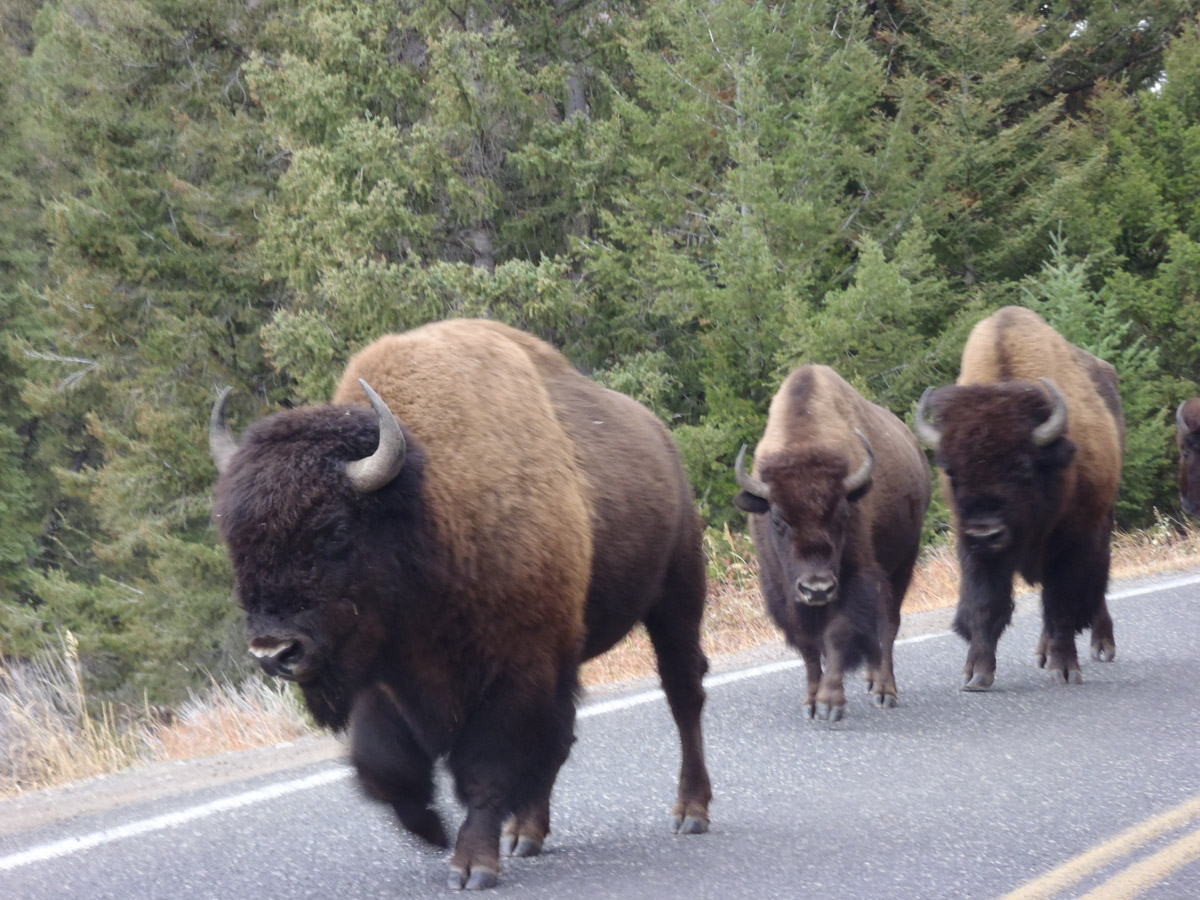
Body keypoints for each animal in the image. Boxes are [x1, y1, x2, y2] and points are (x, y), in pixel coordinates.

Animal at [208, 321, 710, 892]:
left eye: (334, 529)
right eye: (233, 538)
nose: (274, 651)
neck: (429, 506)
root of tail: (660, 437)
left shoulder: (512, 673)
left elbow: (486, 766)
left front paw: (471, 865)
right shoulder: (385, 673)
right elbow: (381, 763)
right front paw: (430, 828)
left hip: (676, 597)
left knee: (682, 695)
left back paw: (690, 812)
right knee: (564, 737)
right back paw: (526, 833)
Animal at [729, 362, 936, 724]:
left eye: (842, 514)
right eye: (778, 519)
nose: (817, 589)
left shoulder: (854, 579)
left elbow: (838, 634)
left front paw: (830, 703)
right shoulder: (783, 590)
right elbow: (809, 646)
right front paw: (812, 702)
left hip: (902, 564)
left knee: (889, 624)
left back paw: (885, 690)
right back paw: (871, 680)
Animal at [916, 307, 1123, 696]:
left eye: (1022, 467)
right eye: (951, 471)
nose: (985, 533)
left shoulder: (1072, 541)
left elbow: (1062, 602)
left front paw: (1065, 670)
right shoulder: (973, 548)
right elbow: (985, 603)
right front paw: (976, 675)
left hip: (1102, 524)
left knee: (1097, 584)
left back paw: (1102, 647)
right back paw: (1042, 654)